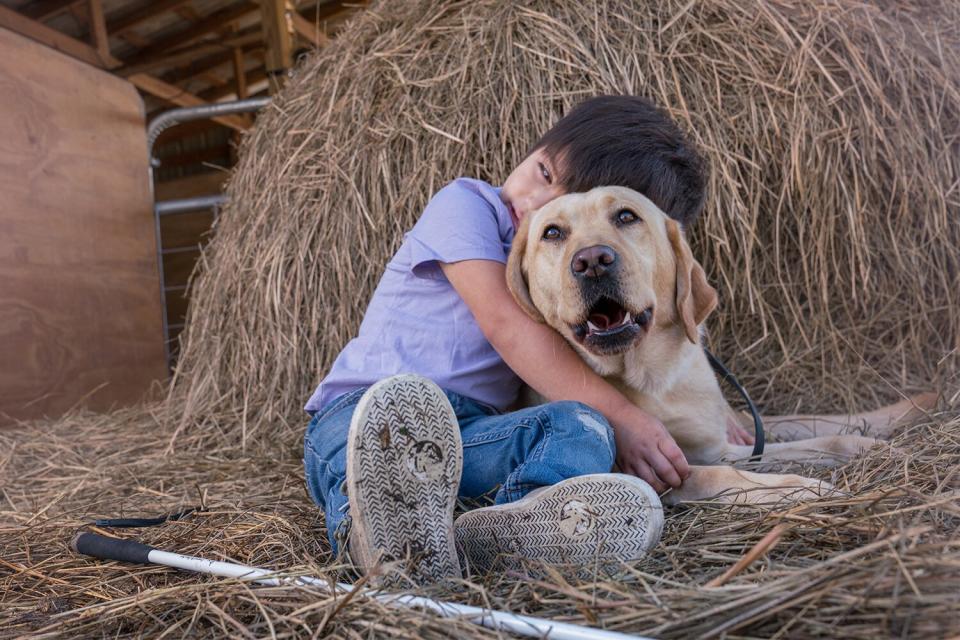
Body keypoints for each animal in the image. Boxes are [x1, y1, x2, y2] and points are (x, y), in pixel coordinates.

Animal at [510, 186, 928, 504]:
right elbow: (723, 476)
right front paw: (804, 489)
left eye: (627, 217)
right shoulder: (661, 468)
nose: (593, 261)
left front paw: (869, 449)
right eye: (552, 233)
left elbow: (825, 439)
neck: (648, 377)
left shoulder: (719, 447)